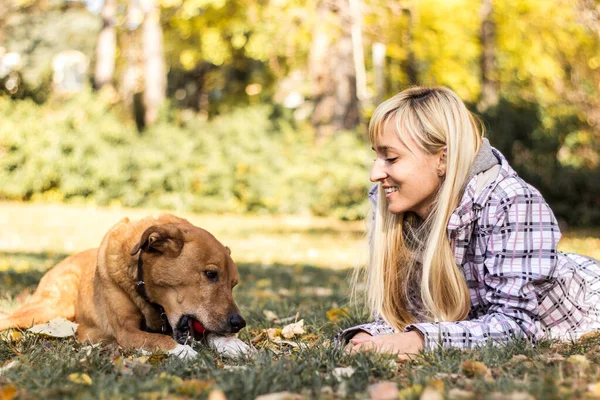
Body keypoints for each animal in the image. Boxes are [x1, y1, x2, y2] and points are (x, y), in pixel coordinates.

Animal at [0, 214, 251, 358]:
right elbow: (158, 339)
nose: (239, 323)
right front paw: (181, 351)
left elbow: (209, 332)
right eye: (210, 274)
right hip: (51, 307)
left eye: (233, 285)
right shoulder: (126, 331)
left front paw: (232, 344)